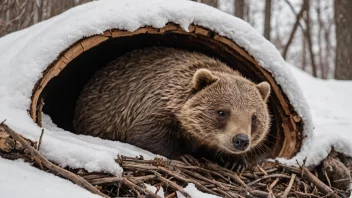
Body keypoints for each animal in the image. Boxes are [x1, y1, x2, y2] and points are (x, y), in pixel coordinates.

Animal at [73, 47, 272, 169]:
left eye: (254, 117)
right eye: (222, 112)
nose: (240, 140)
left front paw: (235, 162)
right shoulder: (152, 104)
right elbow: (146, 133)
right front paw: (183, 155)